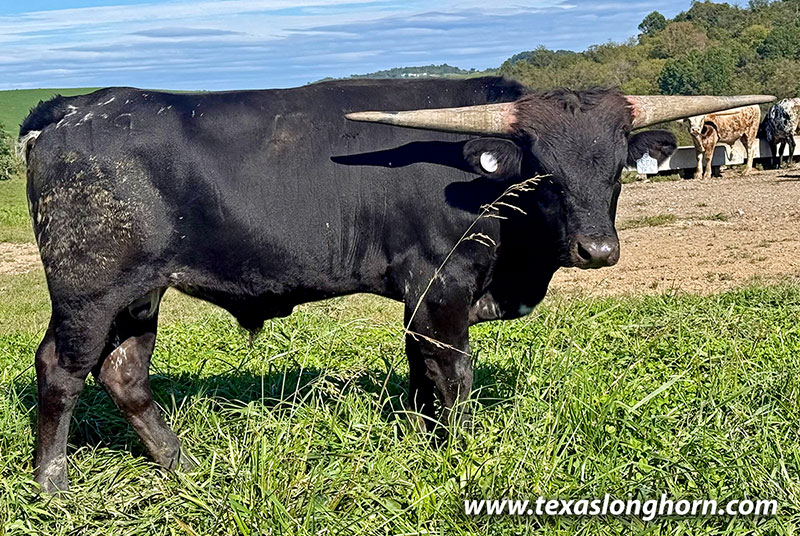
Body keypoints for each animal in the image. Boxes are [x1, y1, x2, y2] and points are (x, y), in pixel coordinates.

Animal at [17, 77, 772, 492]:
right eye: (544, 171)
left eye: (616, 167)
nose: (599, 249)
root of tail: (69, 110)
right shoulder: (442, 286)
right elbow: (451, 375)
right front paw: (462, 456)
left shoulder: (421, 299)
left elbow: (419, 375)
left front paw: (423, 437)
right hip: (89, 290)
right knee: (61, 369)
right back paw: (52, 482)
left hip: (139, 293)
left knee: (124, 373)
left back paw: (178, 465)